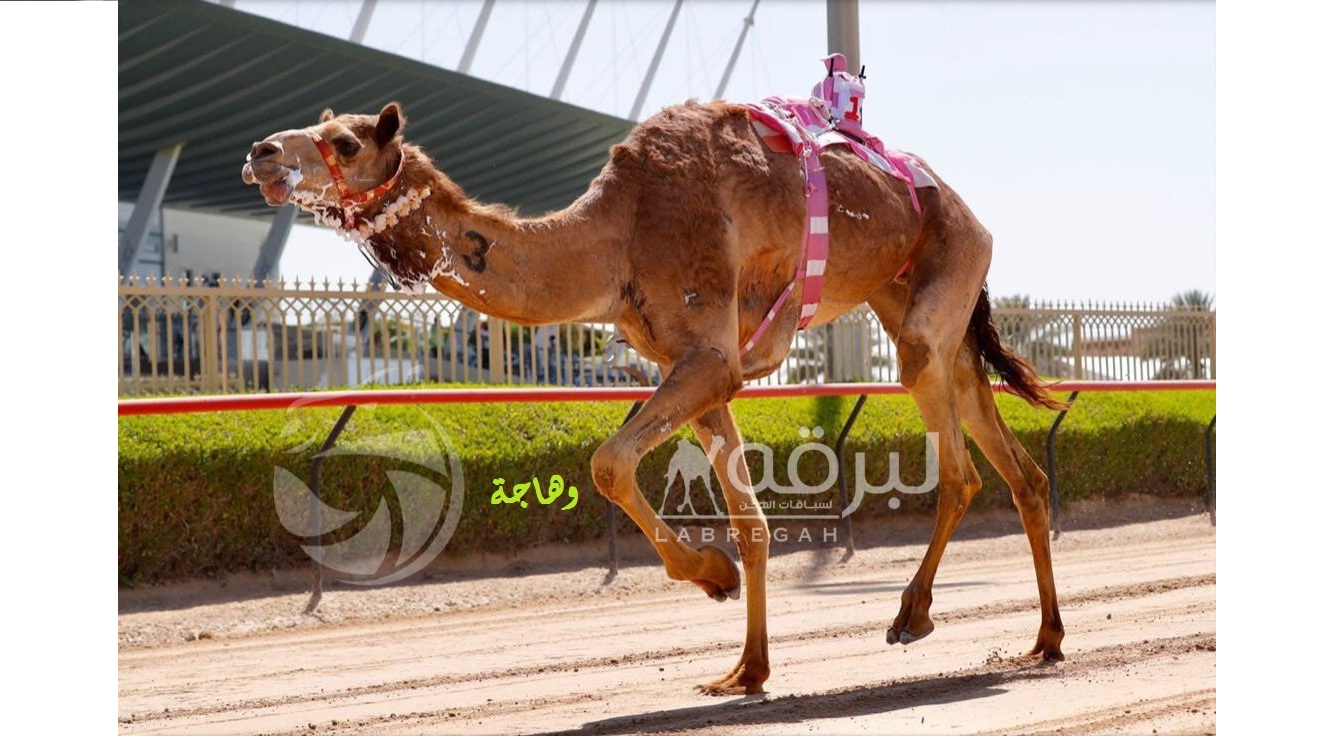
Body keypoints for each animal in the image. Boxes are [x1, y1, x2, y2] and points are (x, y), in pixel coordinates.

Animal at [242, 100, 1068, 695]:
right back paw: (1047, 639)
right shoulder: (694, 366)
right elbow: (752, 522)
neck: (615, 237)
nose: (261, 152)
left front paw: (711, 578)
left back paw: (912, 616)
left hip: (943, 279)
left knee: (959, 467)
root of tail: (967, 212)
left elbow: (608, 463)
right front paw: (745, 667)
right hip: (918, 299)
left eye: (345, 142)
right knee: (1016, 465)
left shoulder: (708, 354)